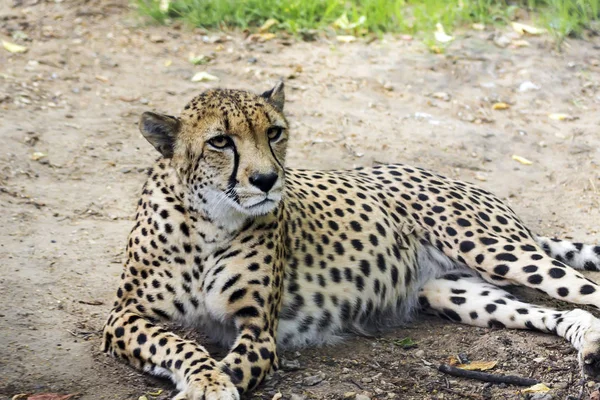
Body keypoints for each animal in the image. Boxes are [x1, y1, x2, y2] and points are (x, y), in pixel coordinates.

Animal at [101, 83, 600, 398]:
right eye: (220, 141)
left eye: (274, 132)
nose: (266, 180)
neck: (210, 221)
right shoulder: (124, 316)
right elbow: (182, 346)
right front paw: (204, 383)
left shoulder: (258, 331)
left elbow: (234, 363)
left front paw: (209, 386)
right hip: (453, 293)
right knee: (562, 311)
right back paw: (590, 343)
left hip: (494, 250)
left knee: (583, 288)